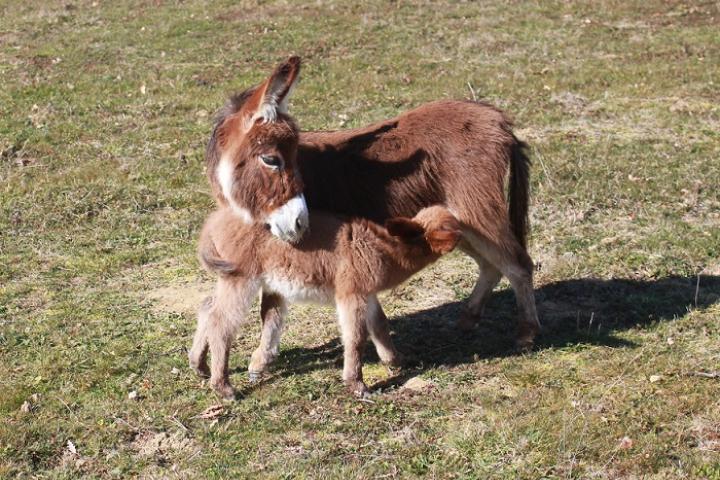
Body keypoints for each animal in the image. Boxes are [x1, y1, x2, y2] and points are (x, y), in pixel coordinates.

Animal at [190, 206, 462, 398]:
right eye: (450, 226)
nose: (465, 233)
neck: (383, 249)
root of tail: (212, 223)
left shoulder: (367, 294)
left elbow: (380, 325)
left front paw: (396, 361)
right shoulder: (351, 294)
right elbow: (355, 338)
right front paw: (357, 385)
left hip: (228, 278)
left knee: (207, 307)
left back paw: (199, 365)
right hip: (241, 278)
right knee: (220, 323)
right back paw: (224, 388)